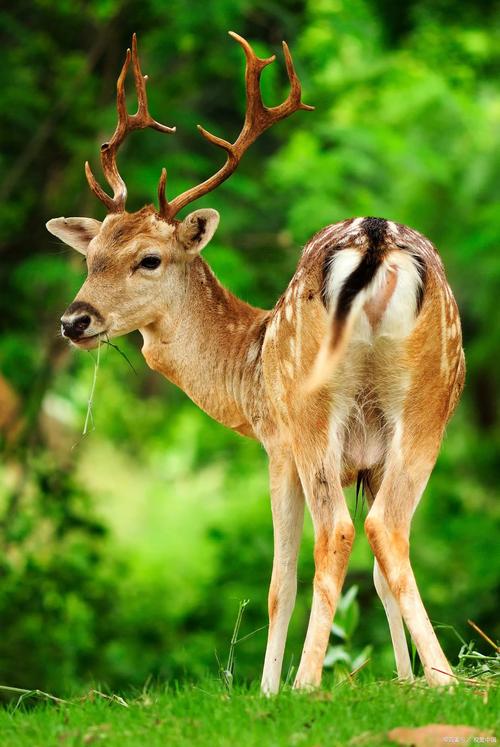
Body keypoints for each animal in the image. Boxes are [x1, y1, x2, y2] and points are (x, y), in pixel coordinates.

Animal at [46, 32, 465, 695]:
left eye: (149, 259)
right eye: (92, 256)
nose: (75, 321)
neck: (246, 366)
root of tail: (376, 241)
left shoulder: (276, 442)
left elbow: (278, 584)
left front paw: (269, 688)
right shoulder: (370, 460)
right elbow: (378, 576)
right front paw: (406, 680)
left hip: (313, 408)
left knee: (339, 532)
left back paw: (307, 682)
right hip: (431, 401)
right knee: (388, 530)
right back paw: (446, 680)